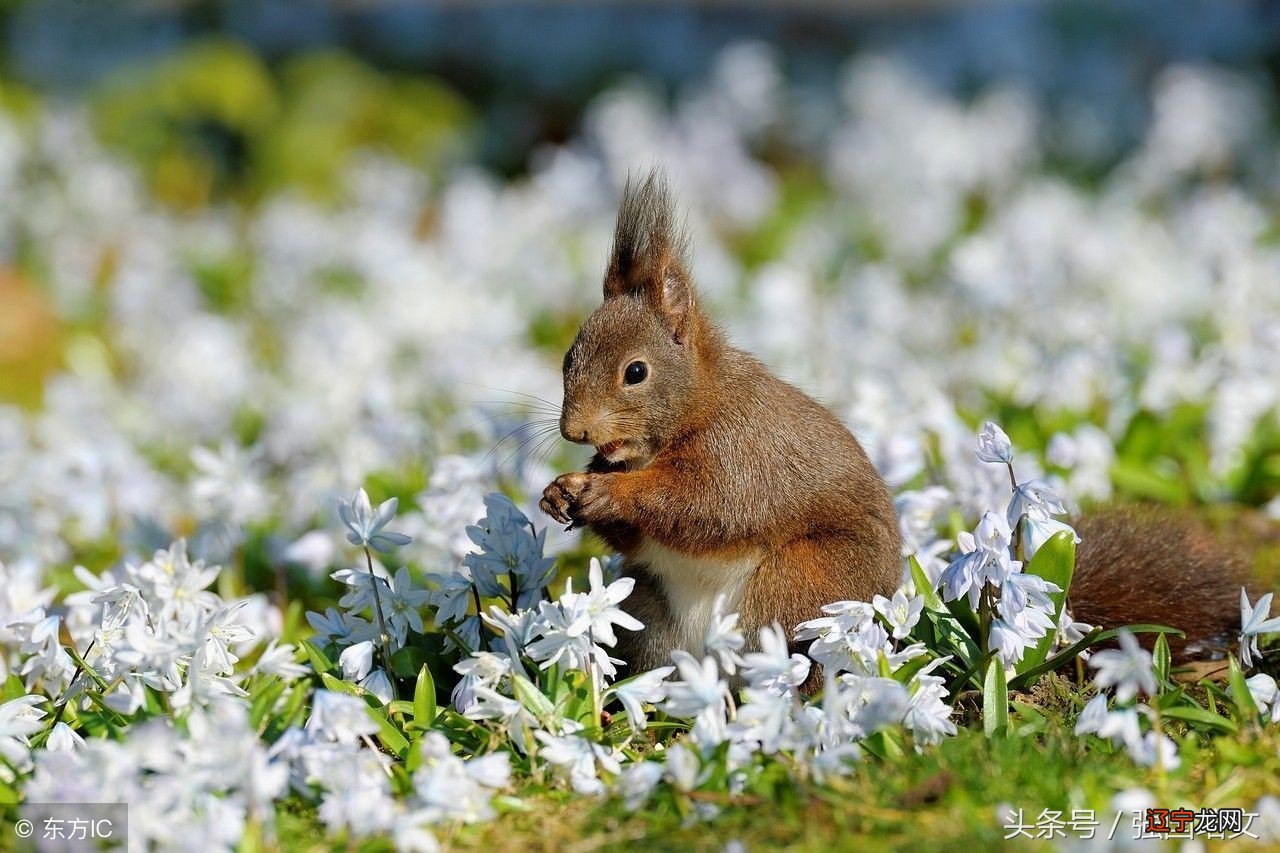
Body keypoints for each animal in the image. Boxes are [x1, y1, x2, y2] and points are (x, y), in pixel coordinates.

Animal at [537, 171, 1249, 686]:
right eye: (569, 355)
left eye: (636, 372)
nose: (575, 431)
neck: (693, 412)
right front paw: (561, 492)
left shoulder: (743, 453)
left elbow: (704, 504)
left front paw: (605, 491)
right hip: (648, 613)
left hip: (797, 591)